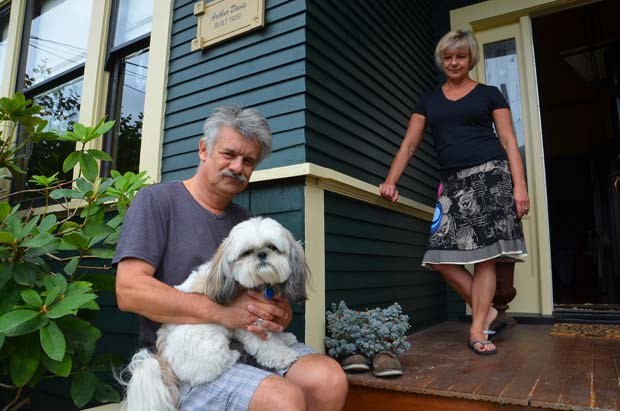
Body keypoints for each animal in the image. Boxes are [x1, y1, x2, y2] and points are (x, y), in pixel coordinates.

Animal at [118, 217, 310, 410]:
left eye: (272, 247)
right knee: (213, 367)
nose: (262, 254)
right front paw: (284, 356)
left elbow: (273, 333)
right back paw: (234, 354)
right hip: (210, 342)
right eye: (247, 252)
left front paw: (285, 338)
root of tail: (162, 357)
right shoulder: (249, 322)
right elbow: (266, 345)